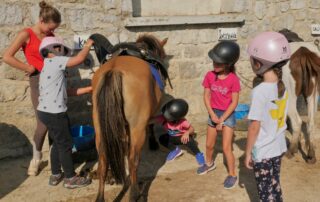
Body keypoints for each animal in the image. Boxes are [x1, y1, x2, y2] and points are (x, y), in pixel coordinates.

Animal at [92, 34, 169, 201]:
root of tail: (114, 70)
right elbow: (151, 125)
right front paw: (153, 143)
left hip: (99, 128)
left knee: (103, 160)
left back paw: (100, 197)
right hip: (137, 128)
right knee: (133, 160)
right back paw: (134, 194)